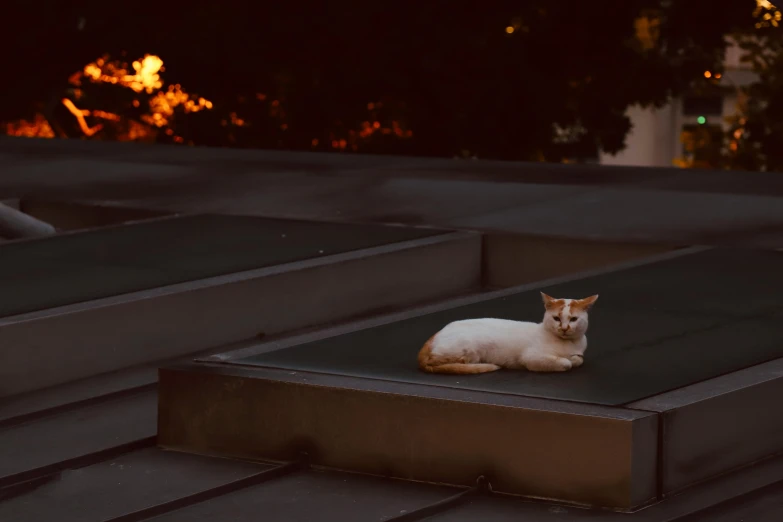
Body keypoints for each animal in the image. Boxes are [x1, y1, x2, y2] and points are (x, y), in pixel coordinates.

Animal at [420, 292, 596, 374]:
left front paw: (574, 358)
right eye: (556, 318)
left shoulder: (579, 352)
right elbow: (566, 363)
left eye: (573, 319)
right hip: (468, 350)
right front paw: (567, 361)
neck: (569, 343)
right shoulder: (531, 358)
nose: (564, 328)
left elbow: (578, 359)